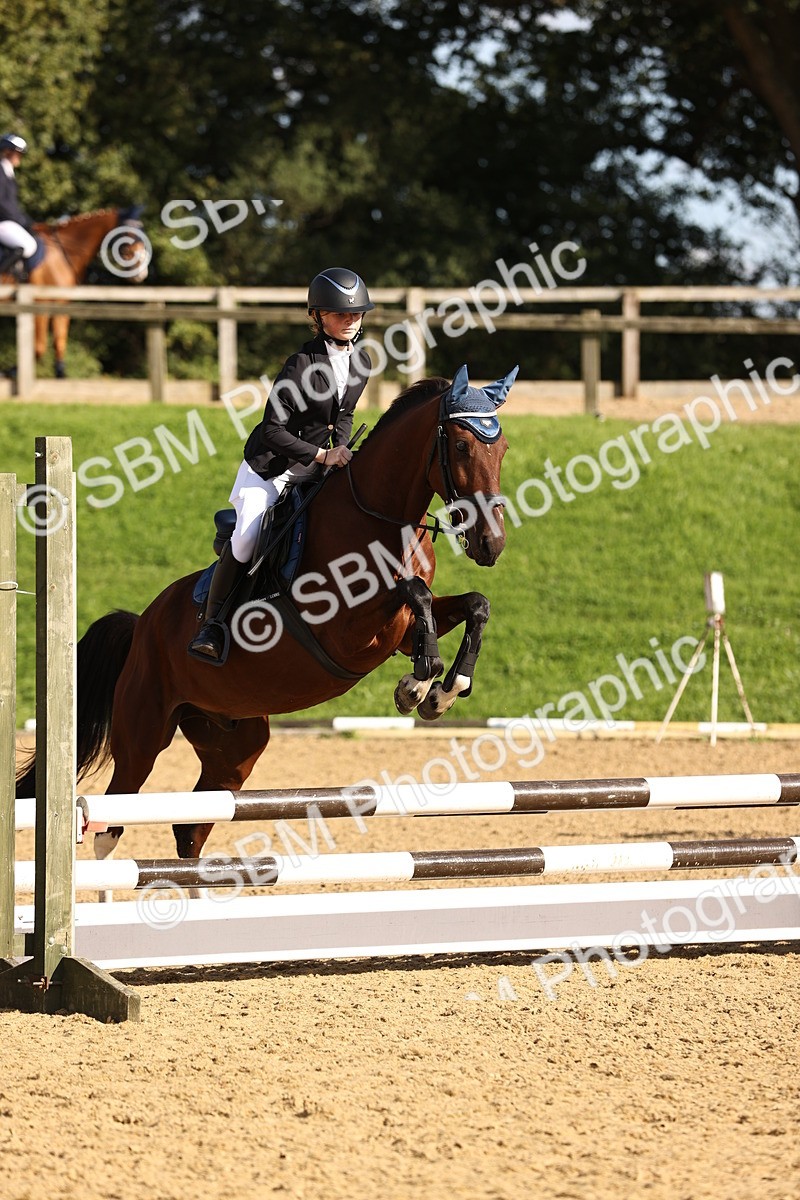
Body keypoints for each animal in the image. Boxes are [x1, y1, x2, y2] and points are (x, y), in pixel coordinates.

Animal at [2, 206, 149, 378]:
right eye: (129, 232)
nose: (142, 273)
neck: (65, 250)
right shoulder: (40, 303)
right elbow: (39, 346)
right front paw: (12, 371)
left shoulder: (61, 303)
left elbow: (59, 342)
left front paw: (61, 374)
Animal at [16, 364, 517, 868]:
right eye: (460, 446)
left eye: (504, 449)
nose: (491, 544)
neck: (380, 518)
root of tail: (141, 625)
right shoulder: (344, 627)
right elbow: (415, 593)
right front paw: (416, 685)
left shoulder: (396, 631)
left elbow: (474, 604)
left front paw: (444, 692)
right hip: (143, 729)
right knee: (116, 810)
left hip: (233, 745)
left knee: (191, 825)